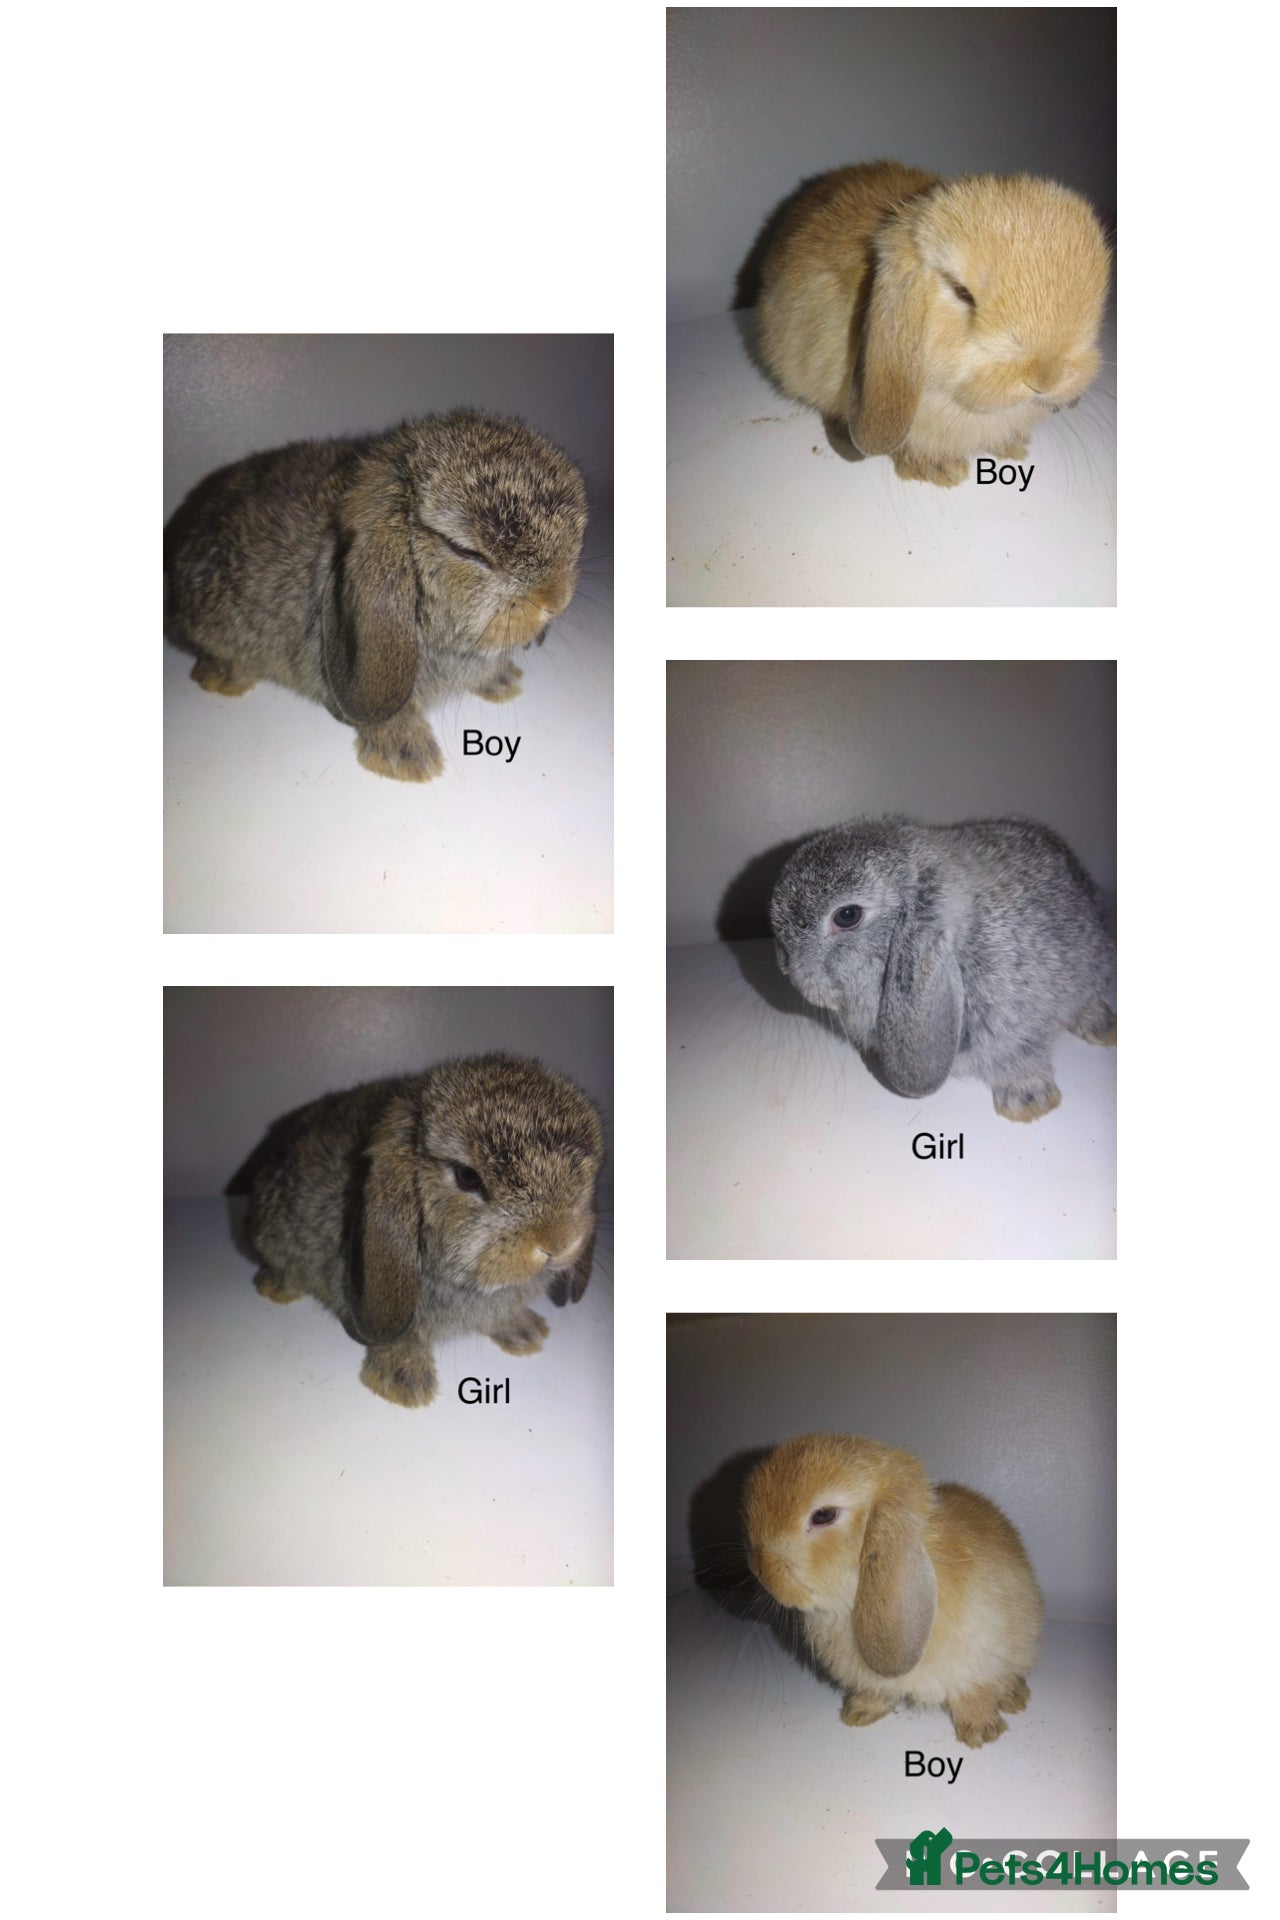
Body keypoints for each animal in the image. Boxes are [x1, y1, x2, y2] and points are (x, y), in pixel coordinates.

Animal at [244, 1053, 604, 1407]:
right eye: (467, 1176)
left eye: (587, 1170)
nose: (559, 1242)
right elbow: (402, 1339)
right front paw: (404, 1384)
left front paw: (526, 1332)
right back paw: (274, 1288)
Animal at [743, 1433, 1043, 1749]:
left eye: (823, 1515)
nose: (759, 1567)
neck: (851, 1603)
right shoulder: (877, 1679)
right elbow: (880, 1692)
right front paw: (858, 1713)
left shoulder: (978, 1661)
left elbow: (974, 1695)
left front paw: (981, 1732)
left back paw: (1015, 1698)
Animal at [770, 816, 1115, 1122]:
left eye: (847, 915)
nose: (788, 969)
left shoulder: (1018, 1024)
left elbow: (1021, 1055)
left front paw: (1027, 1105)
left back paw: (1102, 1028)